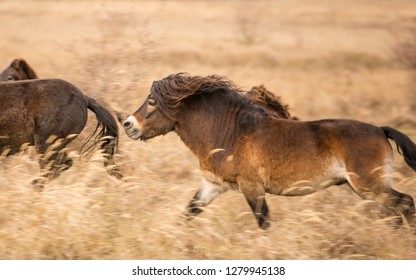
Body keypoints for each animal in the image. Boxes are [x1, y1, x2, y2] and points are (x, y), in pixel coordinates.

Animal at [122, 72, 416, 230]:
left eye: (151, 101)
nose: (127, 125)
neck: (229, 132)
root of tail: (380, 130)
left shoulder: (252, 188)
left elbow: (264, 223)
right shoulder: (212, 185)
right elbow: (188, 214)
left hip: (369, 186)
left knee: (405, 203)